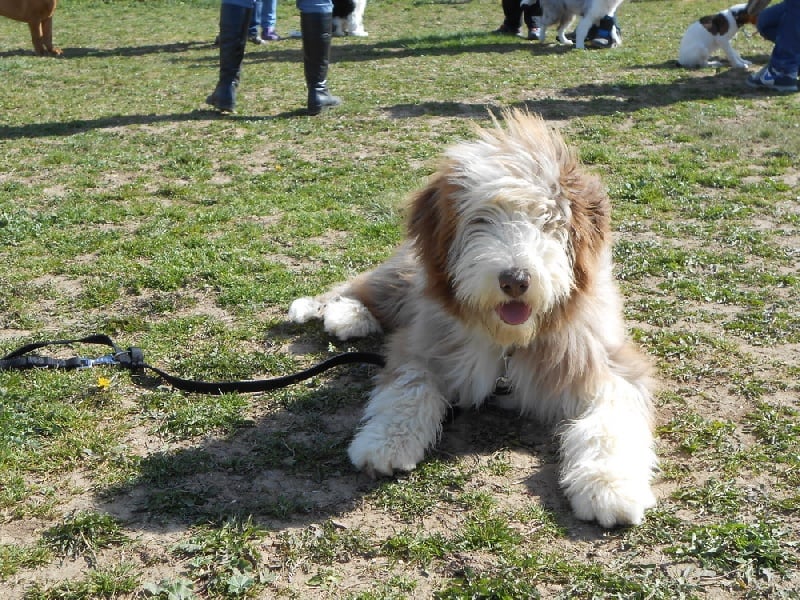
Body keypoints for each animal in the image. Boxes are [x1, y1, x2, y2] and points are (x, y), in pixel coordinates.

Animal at [290, 110, 660, 528]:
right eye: (481, 220)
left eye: (548, 220)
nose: (515, 280)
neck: (508, 341)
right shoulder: (421, 343)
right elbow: (410, 388)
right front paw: (384, 442)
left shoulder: (609, 361)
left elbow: (611, 420)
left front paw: (610, 487)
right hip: (407, 277)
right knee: (365, 286)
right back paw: (345, 313)